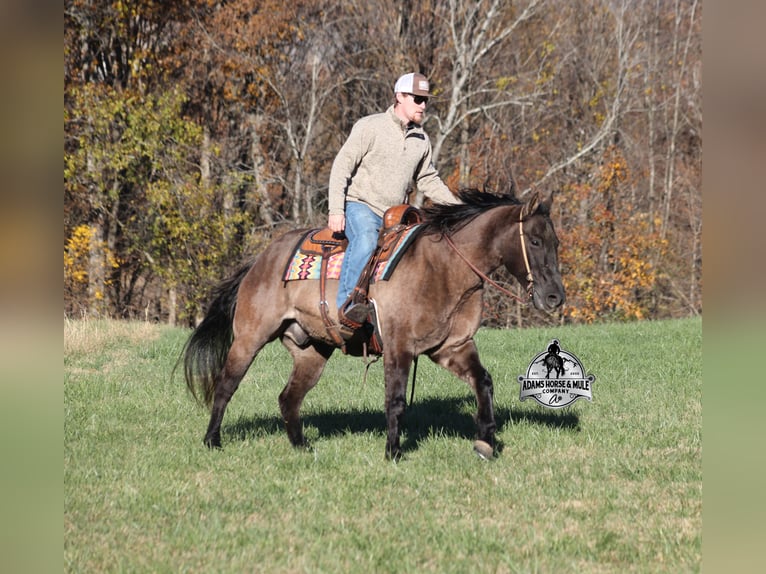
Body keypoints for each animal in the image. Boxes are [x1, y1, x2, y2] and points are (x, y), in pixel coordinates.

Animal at [180, 189, 565, 460]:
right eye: (534, 241)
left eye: (555, 242)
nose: (554, 297)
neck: (443, 267)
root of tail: (261, 260)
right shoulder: (399, 346)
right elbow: (395, 400)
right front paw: (393, 452)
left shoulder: (452, 347)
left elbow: (483, 382)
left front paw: (485, 440)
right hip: (250, 338)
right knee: (226, 385)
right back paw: (212, 440)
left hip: (312, 352)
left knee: (289, 398)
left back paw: (302, 447)